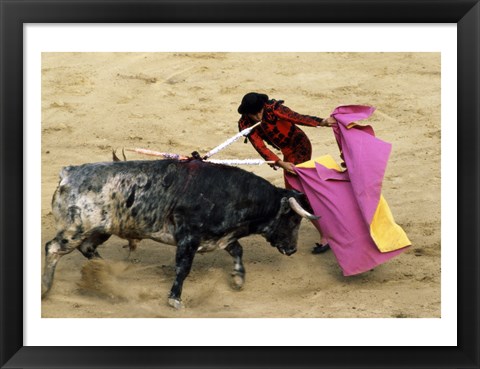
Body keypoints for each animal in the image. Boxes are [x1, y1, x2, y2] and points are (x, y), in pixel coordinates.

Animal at [42, 158, 318, 308]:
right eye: (293, 218)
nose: (292, 249)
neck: (232, 194)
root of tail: (68, 173)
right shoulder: (188, 238)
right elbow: (183, 268)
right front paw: (175, 299)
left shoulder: (220, 236)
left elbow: (238, 249)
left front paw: (238, 279)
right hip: (75, 229)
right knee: (53, 248)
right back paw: (46, 288)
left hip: (102, 229)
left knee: (88, 248)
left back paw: (108, 274)